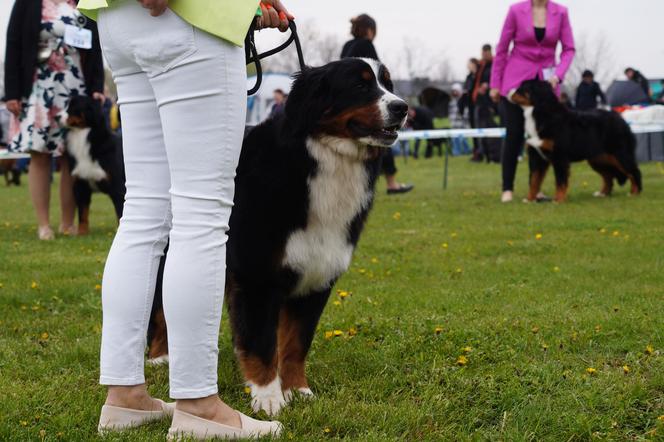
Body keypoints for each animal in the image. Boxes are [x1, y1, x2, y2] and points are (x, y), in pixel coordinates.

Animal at [65, 96, 126, 235]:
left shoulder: (118, 187)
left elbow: (120, 213)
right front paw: (82, 233)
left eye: (73, 107)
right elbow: (83, 213)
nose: (55, 116)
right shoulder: (80, 184)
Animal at [147, 57, 410, 414]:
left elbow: (296, 343)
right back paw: (159, 357)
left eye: (389, 84)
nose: (402, 107)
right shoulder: (257, 275)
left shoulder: (317, 276)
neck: (322, 160)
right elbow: (261, 343)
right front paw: (268, 398)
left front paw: (297, 390)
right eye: (359, 85)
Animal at [510, 79, 640, 202]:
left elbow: (560, 181)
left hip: (620, 154)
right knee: (608, 177)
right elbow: (534, 180)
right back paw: (602, 194)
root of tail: (621, 119)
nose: (509, 91)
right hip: (598, 159)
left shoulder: (559, 156)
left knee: (634, 172)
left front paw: (558, 200)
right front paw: (529, 199)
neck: (540, 113)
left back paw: (634, 193)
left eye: (523, 88)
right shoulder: (536, 156)